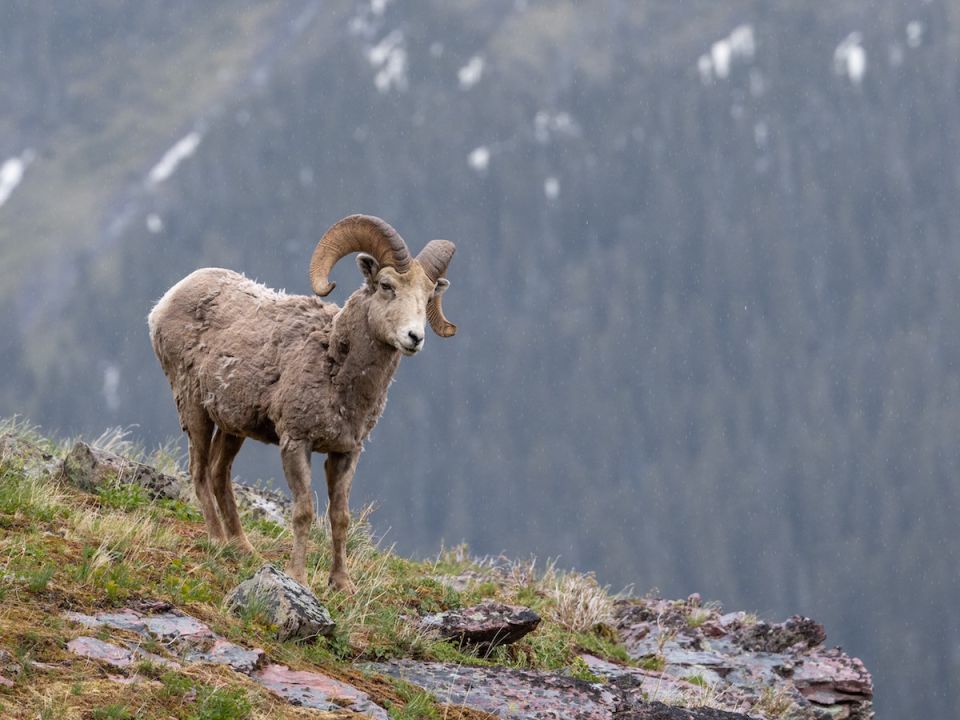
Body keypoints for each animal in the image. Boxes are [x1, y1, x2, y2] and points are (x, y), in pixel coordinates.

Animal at [146, 215, 454, 592]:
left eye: (428, 294)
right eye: (386, 285)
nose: (414, 337)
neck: (334, 364)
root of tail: (166, 301)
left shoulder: (346, 453)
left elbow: (339, 516)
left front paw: (342, 584)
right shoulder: (296, 442)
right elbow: (304, 511)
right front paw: (297, 577)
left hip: (233, 426)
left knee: (219, 473)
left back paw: (243, 547)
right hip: (193, 408)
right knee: (200, 472)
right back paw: (218, 541)